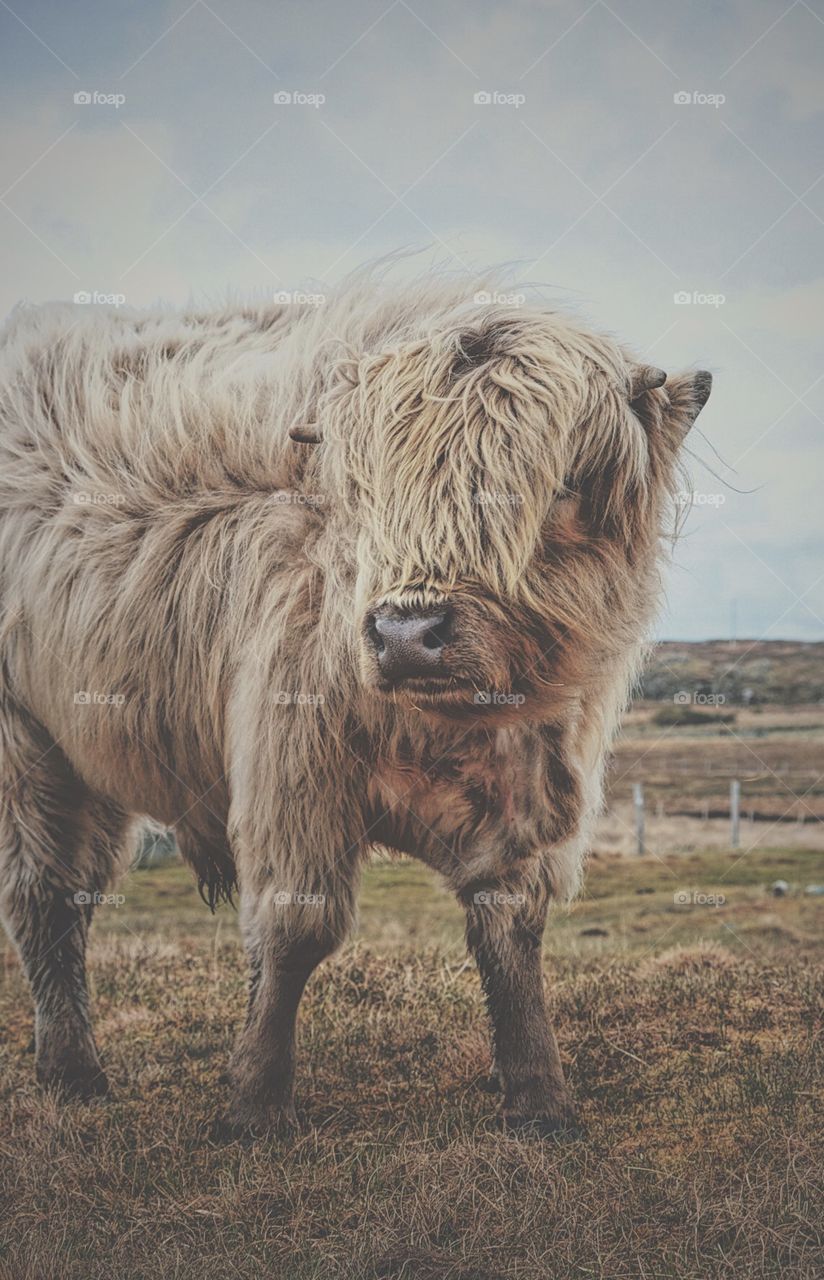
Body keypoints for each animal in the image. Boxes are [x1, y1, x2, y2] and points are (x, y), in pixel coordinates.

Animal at [0, 277, 711, 1131]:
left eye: (561, 486)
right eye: (370, 494)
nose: (407, 633)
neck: (451, 726)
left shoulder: (530, 786)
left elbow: (511, 933)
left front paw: (540, 1097)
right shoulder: (290, 769)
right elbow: (295, 930)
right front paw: (256, 1104)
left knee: (71, 891)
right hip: (25, 744)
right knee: (43, 895)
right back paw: (73, 1073)